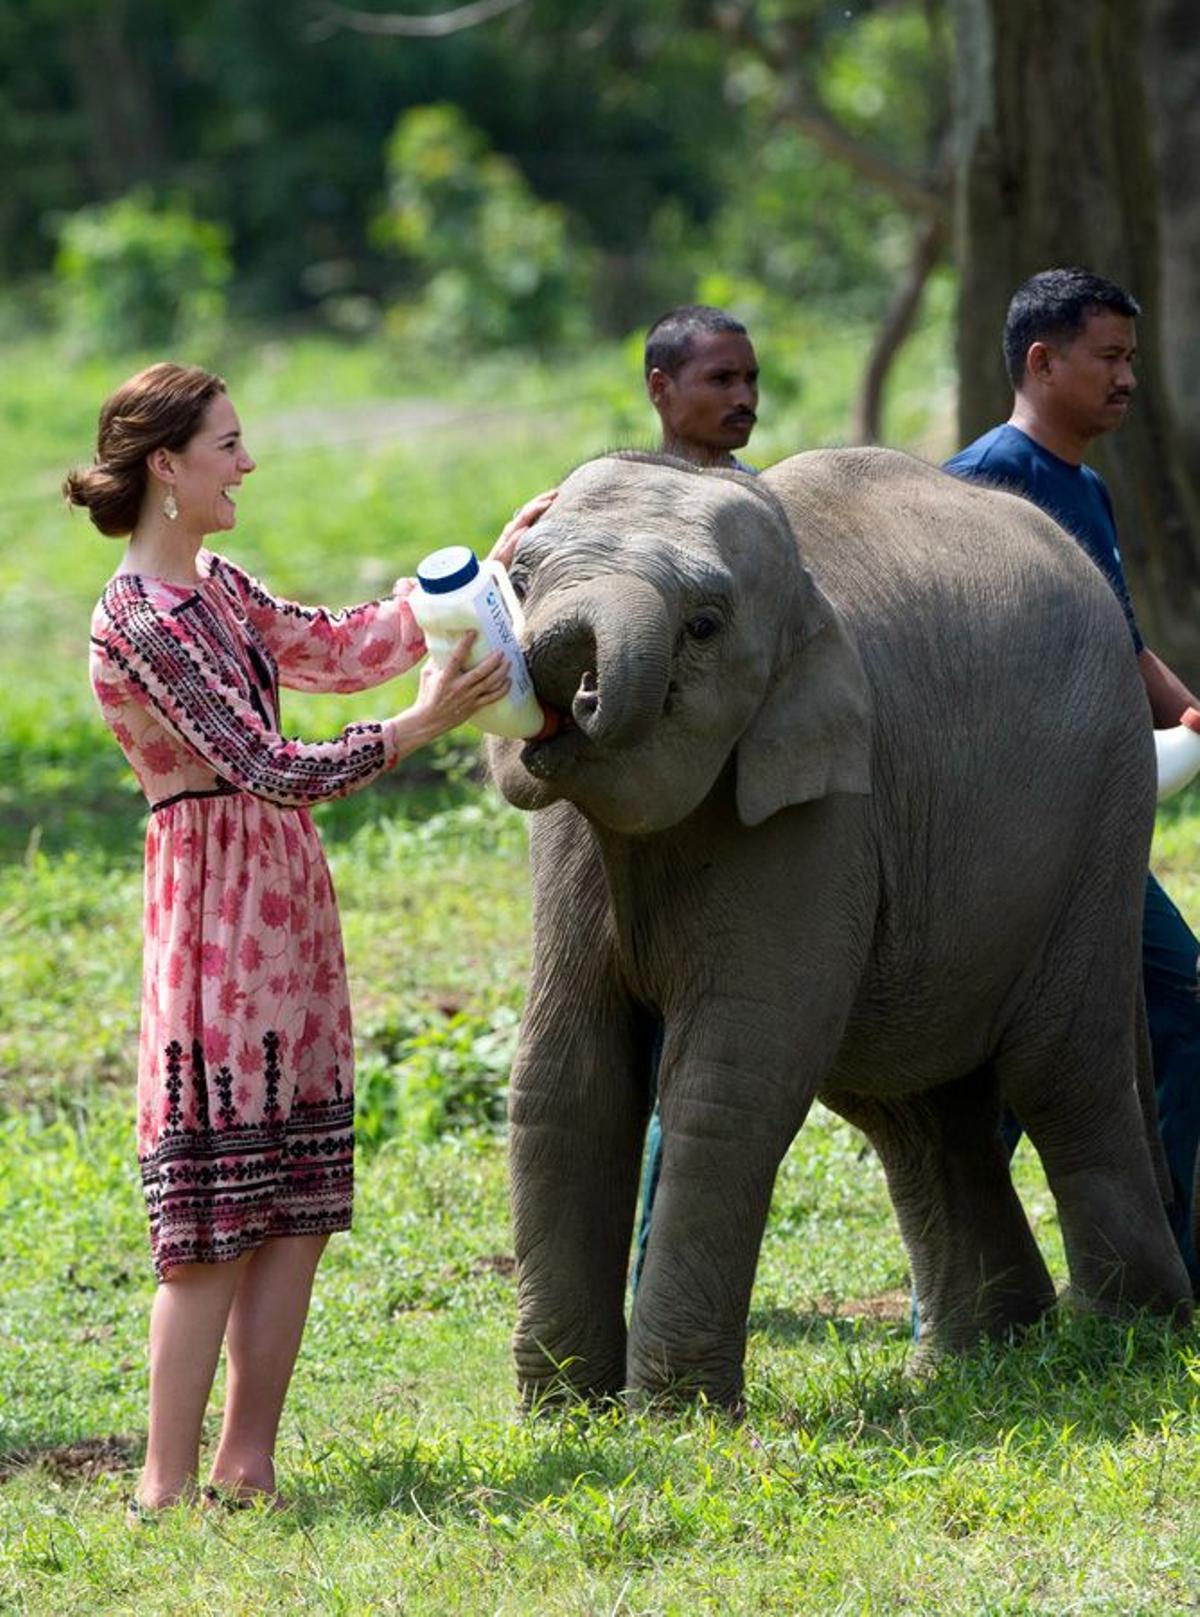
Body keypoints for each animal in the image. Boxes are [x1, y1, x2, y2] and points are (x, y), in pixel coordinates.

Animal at [485, 449, 1196, 1410]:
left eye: (704, 627)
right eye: (520, 580)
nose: (575, 685)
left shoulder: (820, 809)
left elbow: (729, 1082)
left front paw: (674, 1416)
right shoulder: (571, 844)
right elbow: (566, 1077)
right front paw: (565, 1415)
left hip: (1099, 818)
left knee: (1059, 1071)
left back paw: (1129, 1339)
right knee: (913, 1105)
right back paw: (979, 1355)